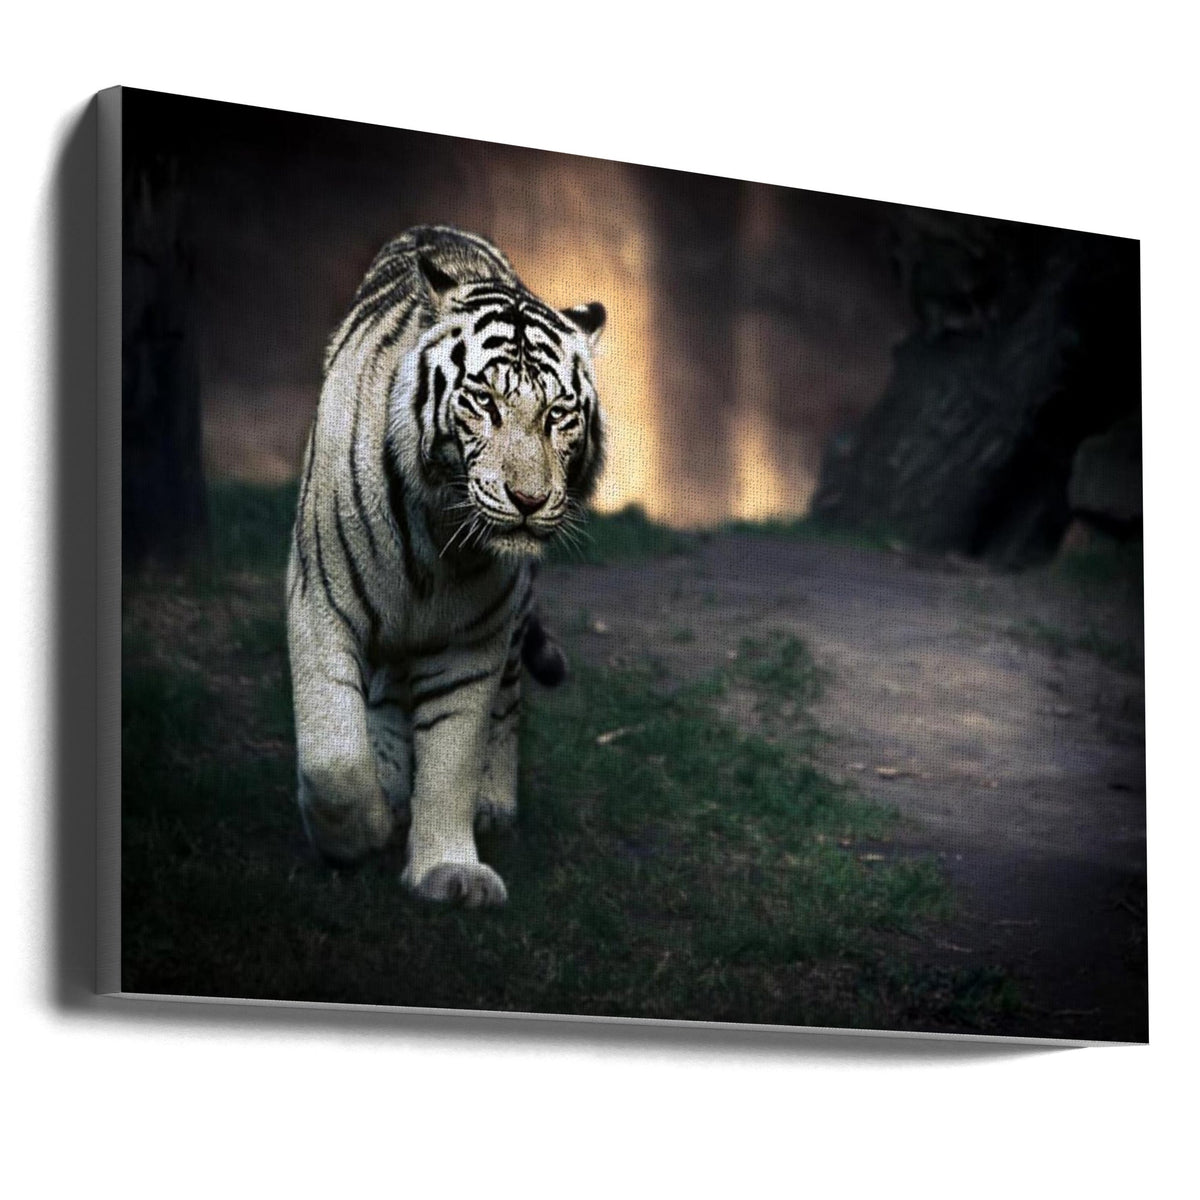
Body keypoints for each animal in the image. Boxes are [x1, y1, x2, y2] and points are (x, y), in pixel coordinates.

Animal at [286, 225, 605, 907]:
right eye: (483, 401)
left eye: (558, 415)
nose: (529, 499)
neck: (439, 534)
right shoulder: (321, 601)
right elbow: (334, 757)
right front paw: (363, 831)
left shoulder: (474, 638)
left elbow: (454, 753)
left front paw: (447, 871)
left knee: (508, 704)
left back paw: (493, 803)